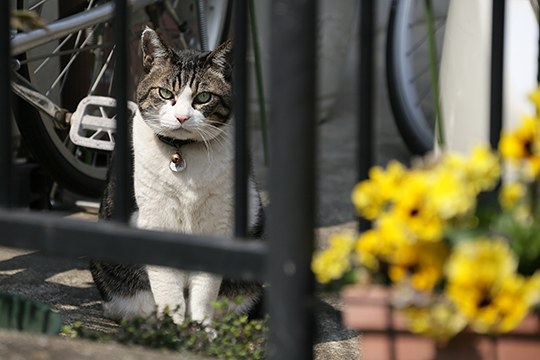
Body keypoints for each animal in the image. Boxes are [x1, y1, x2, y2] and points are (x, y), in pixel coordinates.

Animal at [89, 28, 264, 326]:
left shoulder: (218, 223)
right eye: (165, 92)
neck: (181, 153)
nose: (182, 117)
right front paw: (174, 327)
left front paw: (201, 328)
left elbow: (205, 291)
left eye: (203, 97)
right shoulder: (156, 219)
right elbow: (167, 288)